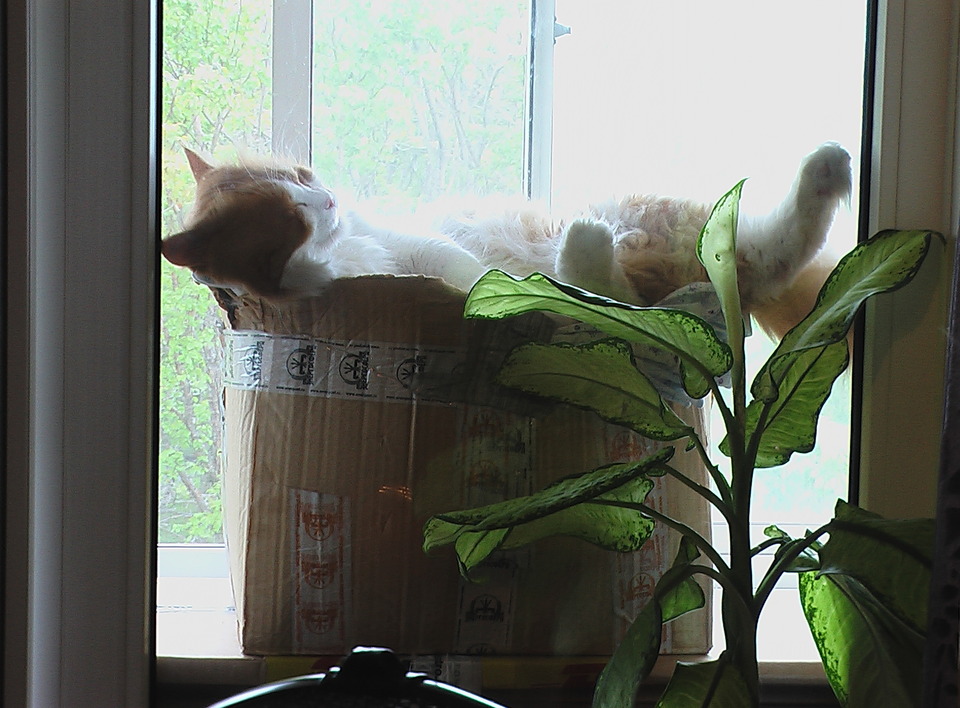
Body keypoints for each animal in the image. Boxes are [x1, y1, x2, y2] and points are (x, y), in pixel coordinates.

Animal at [161, 142, 852, 338]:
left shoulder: (419, 248)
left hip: (655, 221)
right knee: (616, 296)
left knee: (767, 254)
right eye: (290, 218)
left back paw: (829, 168)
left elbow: (470, 276)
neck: (350, 254)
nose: (329, 199)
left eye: (304, 176)